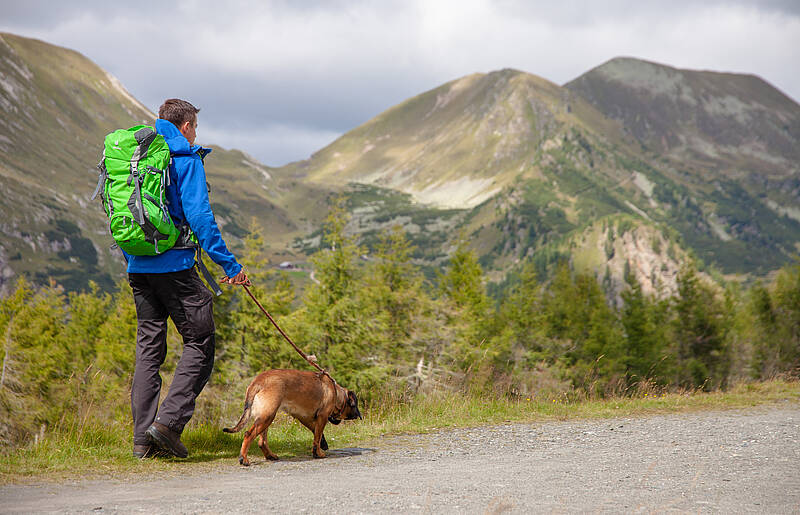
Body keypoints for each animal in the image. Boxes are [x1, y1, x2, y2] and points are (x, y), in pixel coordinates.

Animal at [225, 368, 362, 466]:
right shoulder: (322, 417)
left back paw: (270, 456)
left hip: (266, 417)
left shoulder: (303, 416)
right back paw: (244, 459)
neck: (336, 393)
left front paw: (322, 445)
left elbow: (316, 433)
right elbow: (317, 437)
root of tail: (257, 381)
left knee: (261, 441)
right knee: (248, 435)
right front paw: (318, 453)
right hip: (266, 417)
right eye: (354, 405)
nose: (357, 415)